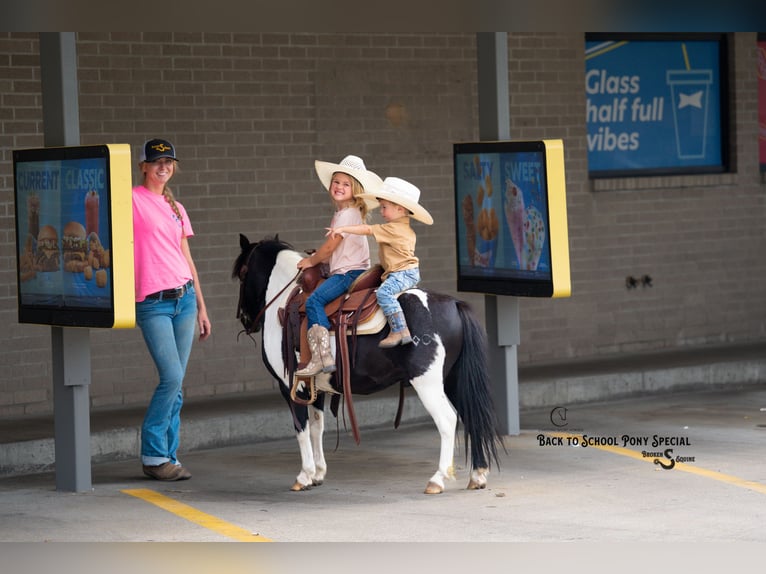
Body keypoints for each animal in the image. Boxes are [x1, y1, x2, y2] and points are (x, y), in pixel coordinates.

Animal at [232, 233, 504, 494]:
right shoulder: (314, 386)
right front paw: (318, 473)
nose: (244, 318)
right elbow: (317, 427)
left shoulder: (290, 386)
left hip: (428, 383)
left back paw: (437, 480)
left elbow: (301, 428)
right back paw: (477, 475)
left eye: (243, 273)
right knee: (470, 416)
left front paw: (304, 476)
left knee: (448, 420)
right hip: (453, 379)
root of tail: (454, 305)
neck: (283, 305)